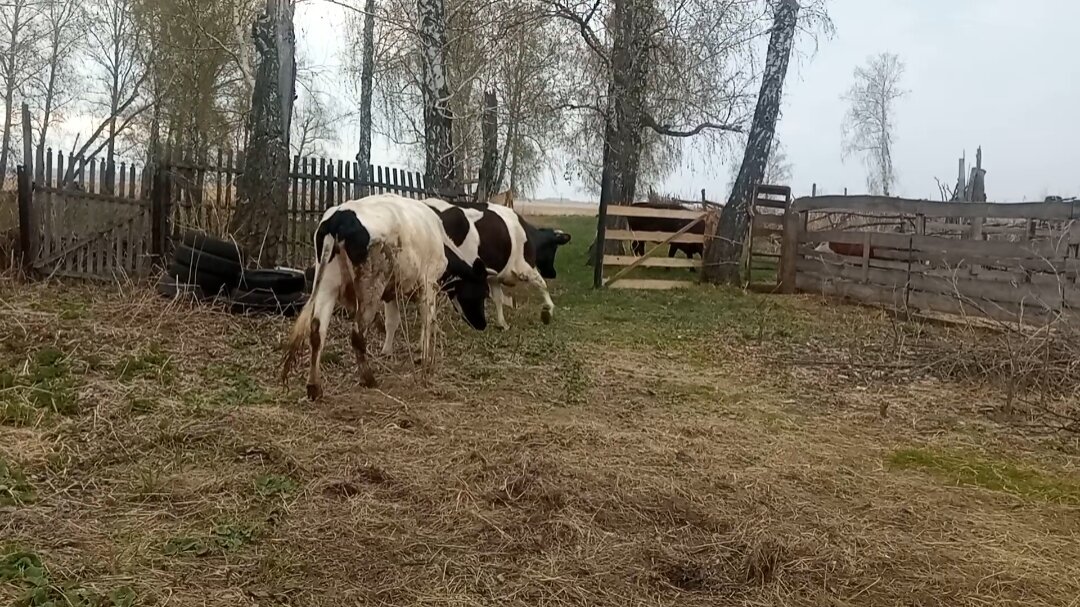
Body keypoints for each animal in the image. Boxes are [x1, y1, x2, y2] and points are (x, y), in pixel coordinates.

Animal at [285, 193, 492, 399]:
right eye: (483, 292)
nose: (482, 325)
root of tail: (339, 217)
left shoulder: (392, 291)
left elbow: (392, 321)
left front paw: (388, 351)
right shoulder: (428, 283)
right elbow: (428, 320)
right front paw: (424, 356)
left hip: (328, 284)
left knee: (317, 331)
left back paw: (314, 387)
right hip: (371, 286)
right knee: (357, 334)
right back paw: (368, 378)